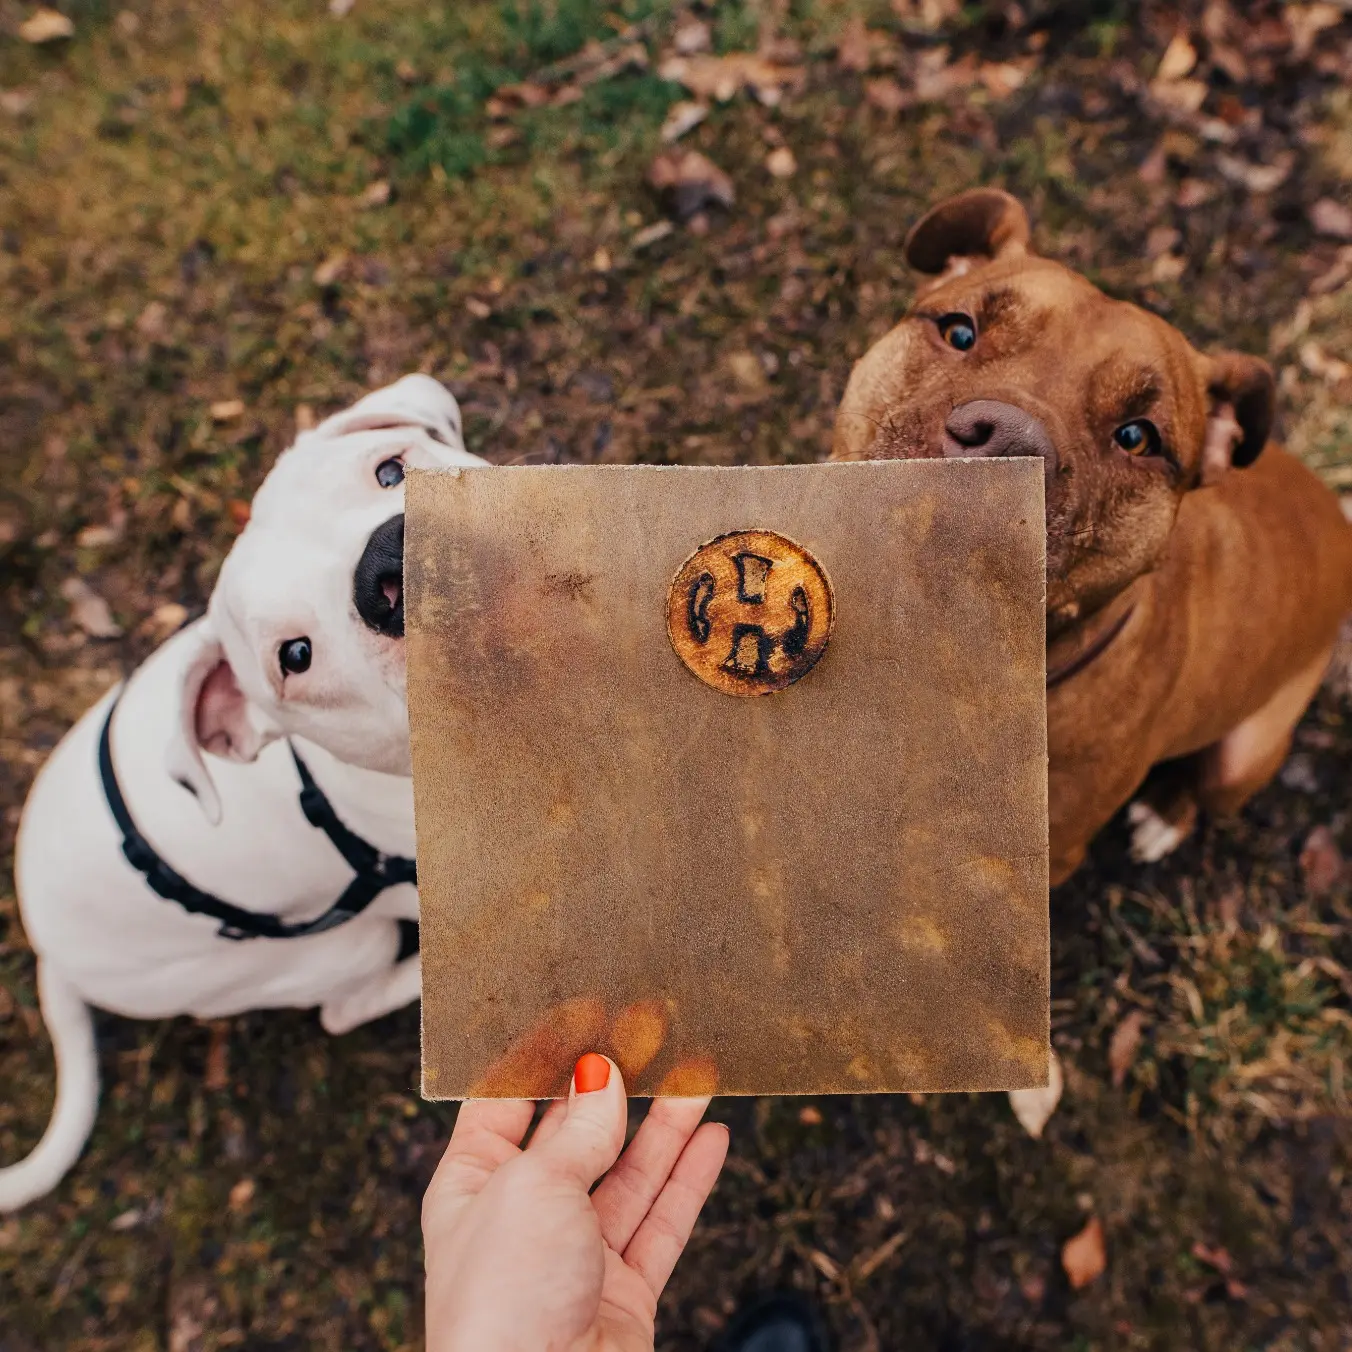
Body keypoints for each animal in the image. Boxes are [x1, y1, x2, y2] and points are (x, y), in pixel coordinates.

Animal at [1, 374, 484, 1210]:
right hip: (330, 950)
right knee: (343, 1006)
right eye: (296, 655)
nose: (389, 567)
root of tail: (48, 952)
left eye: (391, 470)